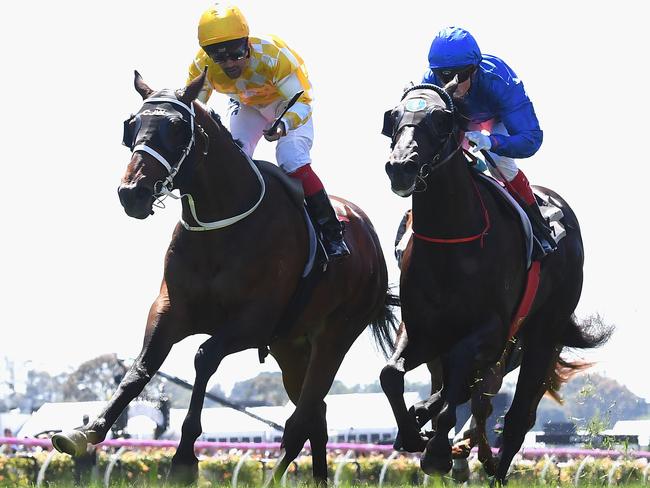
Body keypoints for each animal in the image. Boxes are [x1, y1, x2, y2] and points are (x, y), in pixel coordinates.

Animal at [50, 70, 394, 486]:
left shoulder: (253, 321)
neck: (220, 223)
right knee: (317, 415)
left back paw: (273, 476)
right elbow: (140, 368)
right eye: (131, 125)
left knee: (301, 419)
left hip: (335, 336)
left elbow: (203, 356)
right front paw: (86, 432)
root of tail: (369, 237)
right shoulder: (171, 308)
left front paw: (184, 458)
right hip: (290, 347)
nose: (132, 193)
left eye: (177, 127)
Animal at [378, 83, 612, 480]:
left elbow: (461, 375)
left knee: (516, 419)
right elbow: (391, 374)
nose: (401, 167)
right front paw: (412, 433)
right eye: (394, 116)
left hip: (542, 334)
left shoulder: (492, 331)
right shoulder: (421, 329)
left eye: (441, 119)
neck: (451, 242)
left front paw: (437, 451)